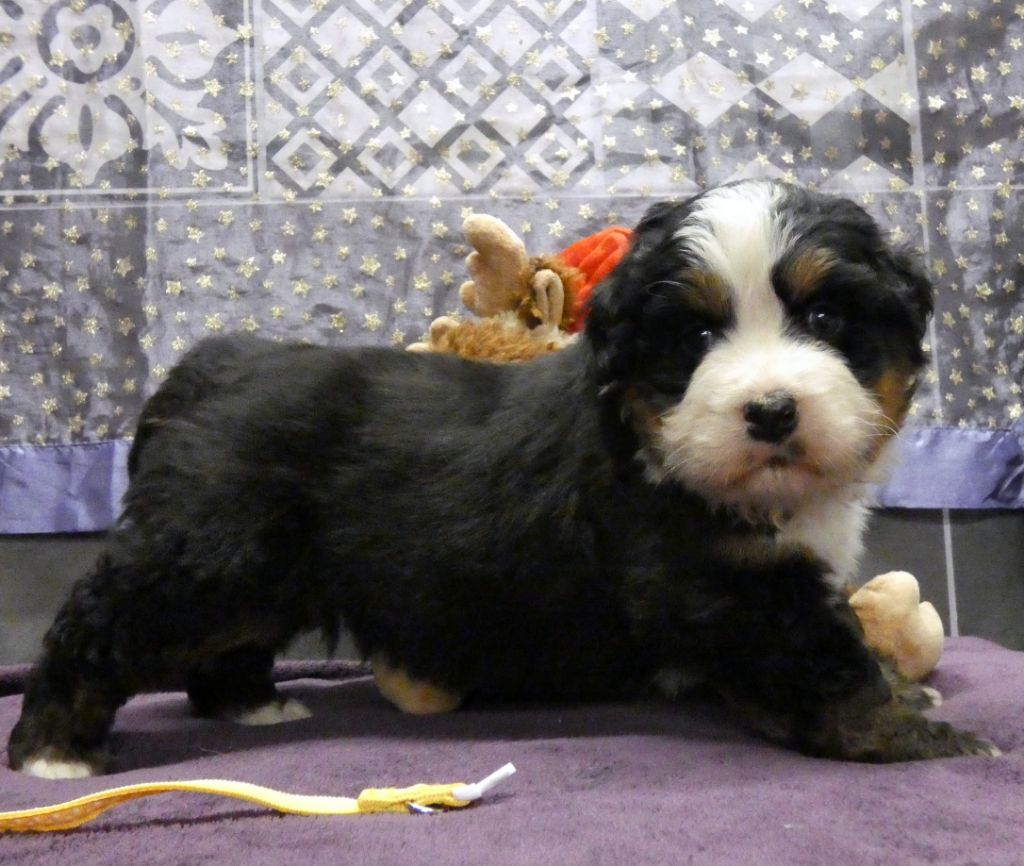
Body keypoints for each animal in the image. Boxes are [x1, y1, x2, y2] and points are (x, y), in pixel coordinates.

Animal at [8, 180, 996, 779]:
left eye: (825, 317)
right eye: (694, 337)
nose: (772, 412)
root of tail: (207, 367)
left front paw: (910, 693)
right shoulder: (741, 589)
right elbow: (832, 668)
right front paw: (926, 739)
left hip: (252, 574)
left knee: (227, 645)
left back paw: (256, 709)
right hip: (196, 558)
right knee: (96, 626)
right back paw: (54, 749)